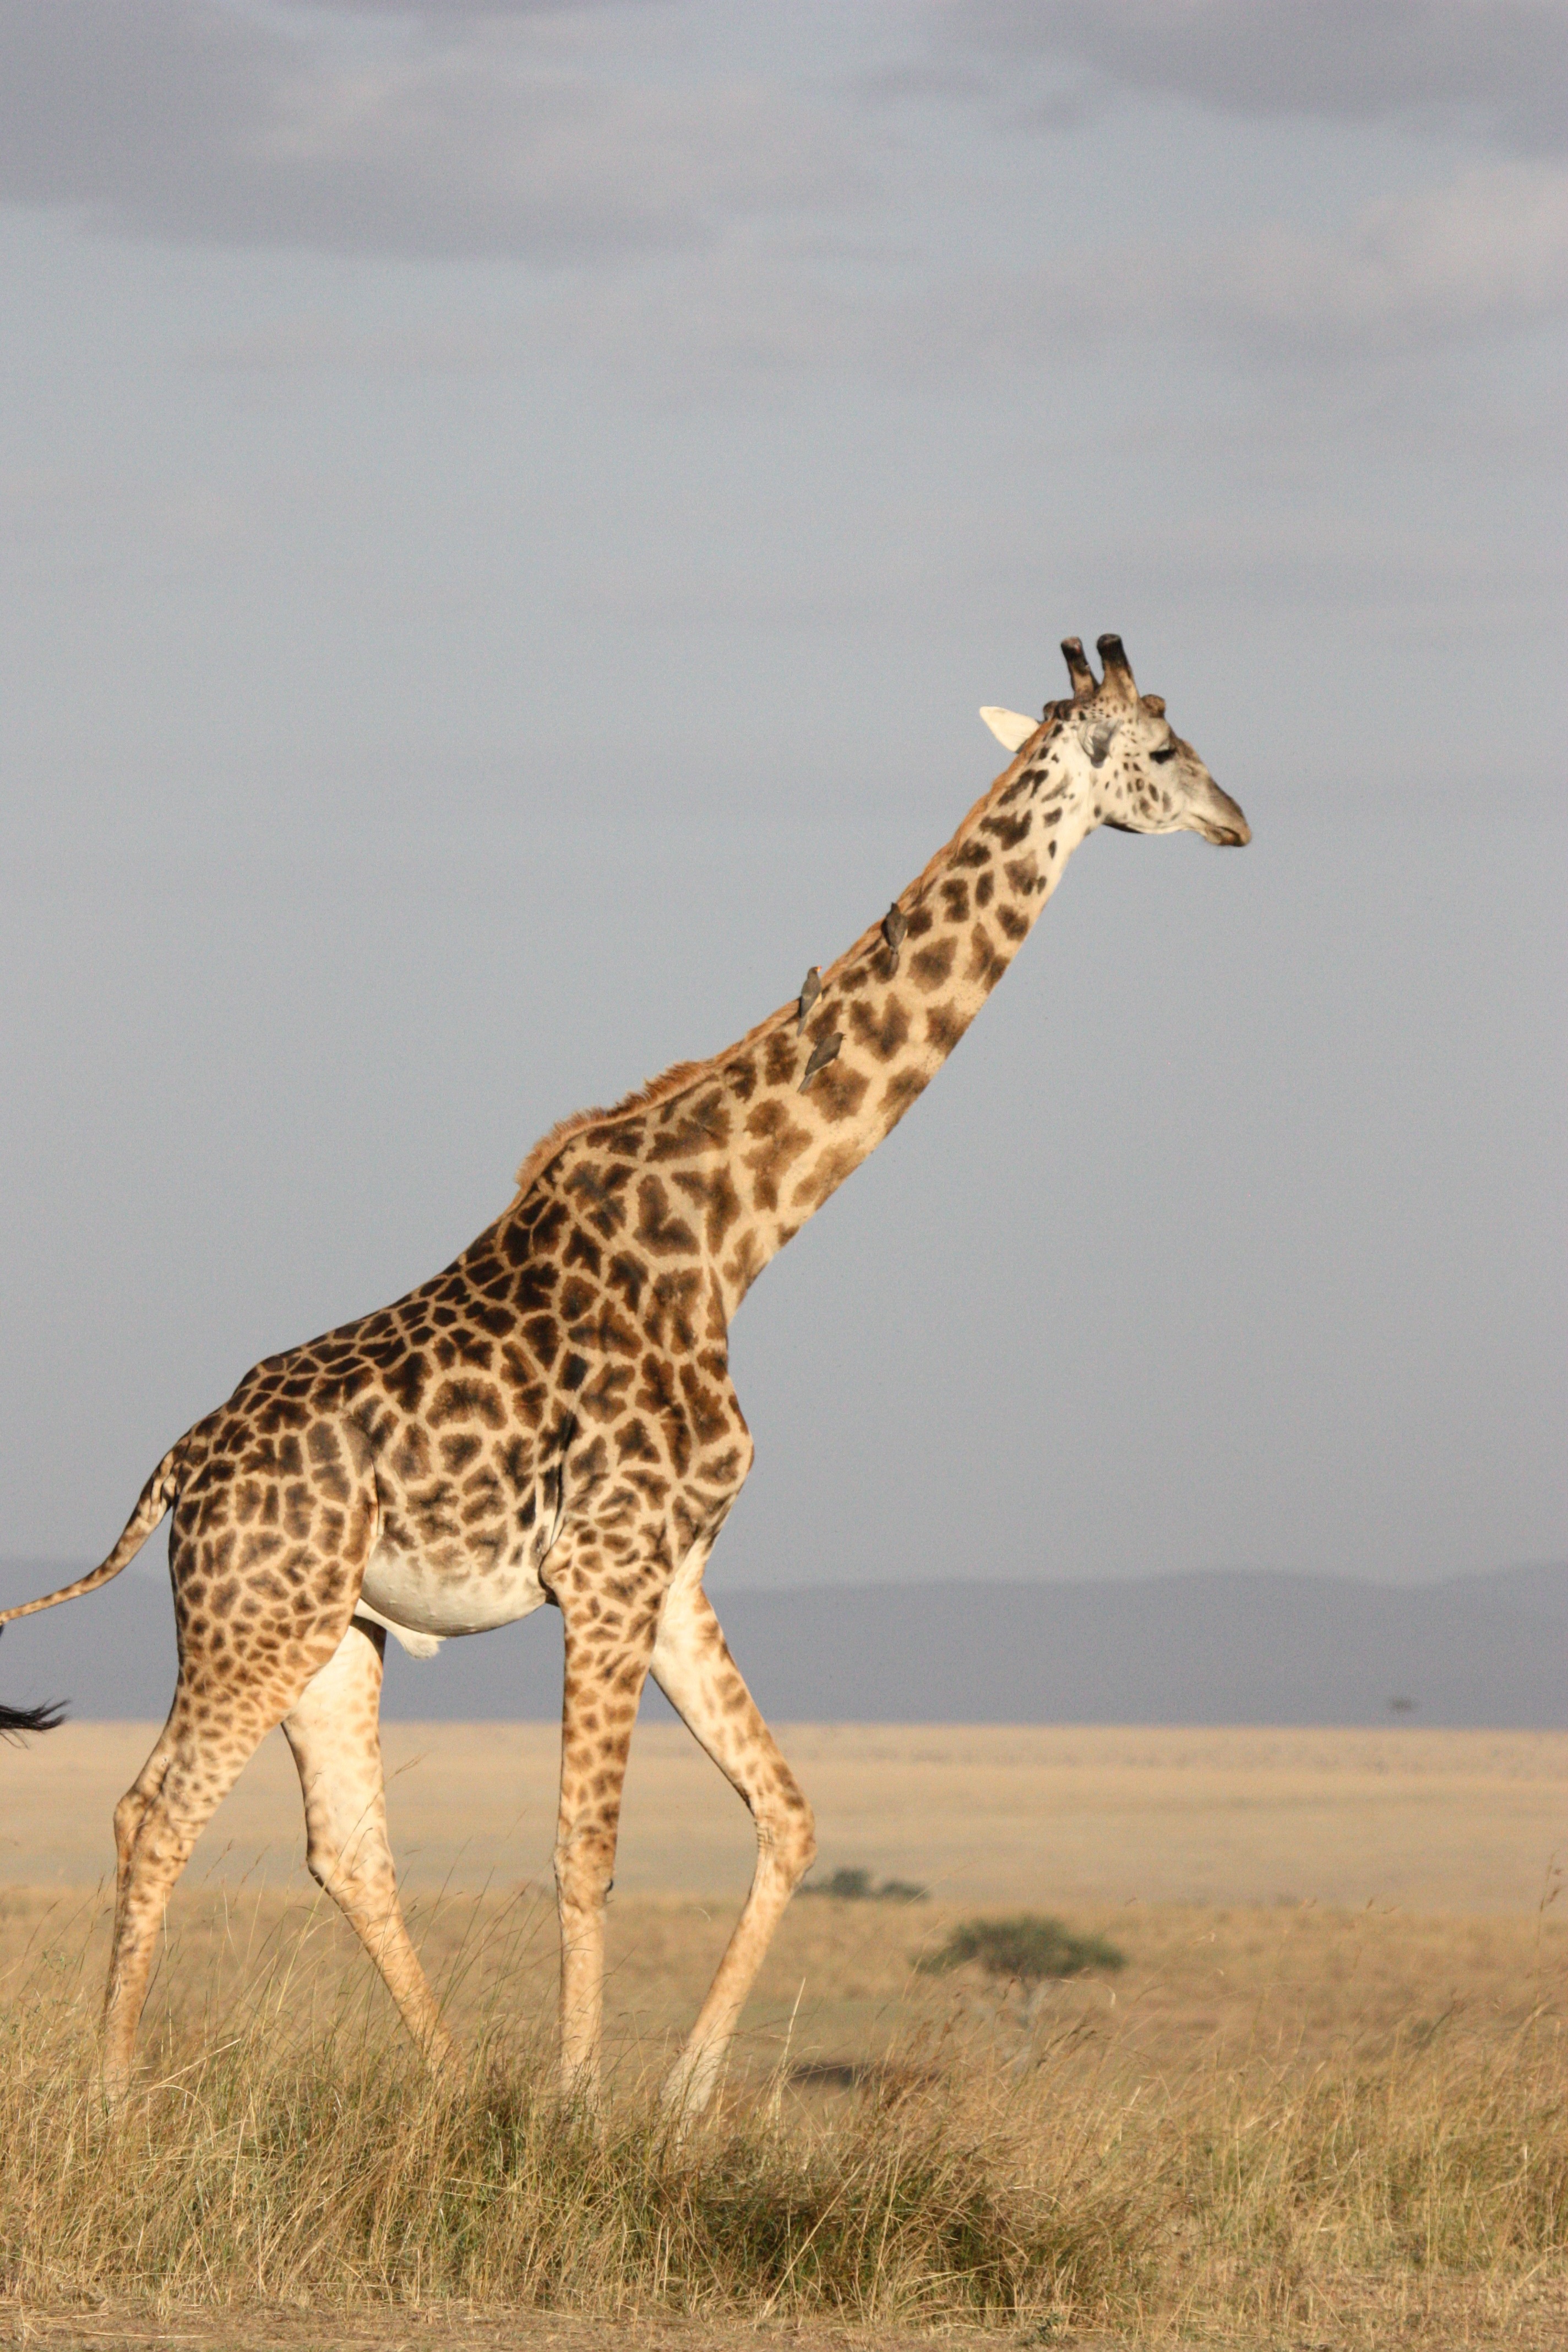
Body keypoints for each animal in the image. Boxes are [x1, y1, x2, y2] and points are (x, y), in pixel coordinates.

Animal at [0, 635, 1250, 2107]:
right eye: (1162, 751)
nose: (1237, 820)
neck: (735, 1233)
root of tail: (177, 1471)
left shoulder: (674, 1569)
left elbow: (787, 1814)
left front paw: (682, 2096)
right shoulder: (603, 1567)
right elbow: (583, 1852)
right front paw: (577, 2102)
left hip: (330, 1633)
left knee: (344, 1844)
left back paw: (451, 2083)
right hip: (254, 1620)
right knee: (153, 1811)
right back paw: (114, 2093)